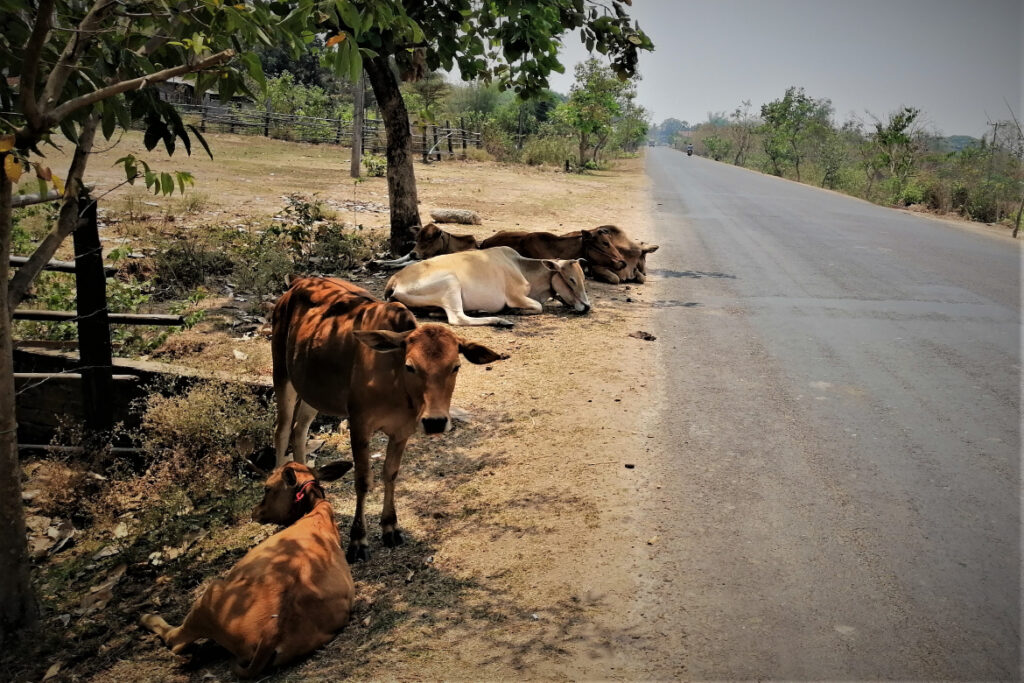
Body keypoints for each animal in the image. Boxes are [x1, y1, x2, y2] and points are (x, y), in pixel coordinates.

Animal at [141, 458, 356, 679]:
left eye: (267, 488)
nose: (254, 511)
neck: (316, 511)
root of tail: (273, 629)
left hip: (210, 594)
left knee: (176, 641)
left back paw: (147, 618)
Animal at [270, 278, 505, 561]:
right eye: (410, 366)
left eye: (456, 366)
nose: (435, 422)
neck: (395, 383)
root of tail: (296, 283)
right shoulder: (360, 425)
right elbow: (363, 480)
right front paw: (358, 540)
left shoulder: (403, 430)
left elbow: (390, 473)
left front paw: (390, 527)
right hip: (282, 373)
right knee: (282, 430)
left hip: (312, 390)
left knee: (300, 428)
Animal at [385, 245, 593, 327]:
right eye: (571, 279)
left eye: (583, 278)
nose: (587, 306)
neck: (521, 266)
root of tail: (395, 279)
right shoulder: (516, 296)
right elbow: (537, 307)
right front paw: (513, 311)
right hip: (451, 283)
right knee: (457, 318)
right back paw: (500, 320)